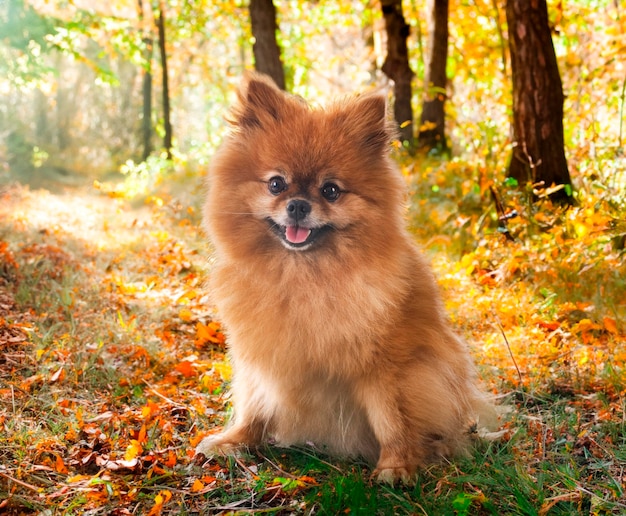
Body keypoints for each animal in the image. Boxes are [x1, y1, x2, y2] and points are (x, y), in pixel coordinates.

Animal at [195, 72, 492, 484]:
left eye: (330, 190)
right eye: (276, 184)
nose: (298, 205)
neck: (302, 278)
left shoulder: (388, 365)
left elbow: (391, 419)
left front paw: (397, 465)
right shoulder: (261, 353)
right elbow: (253, 402)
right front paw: (235, 440)